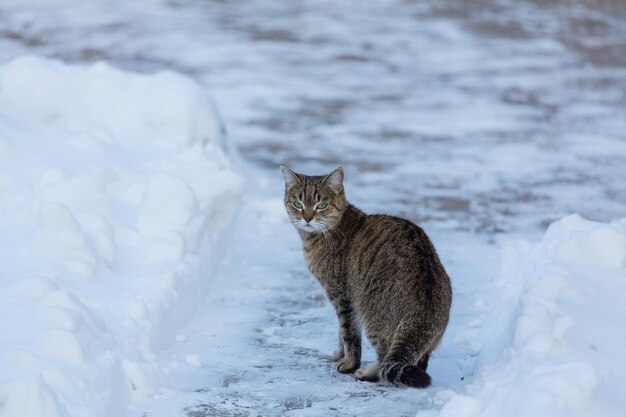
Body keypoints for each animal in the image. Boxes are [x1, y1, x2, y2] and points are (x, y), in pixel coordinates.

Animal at [280, 165, 450, 386]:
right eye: (297, 203)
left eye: (321, 205)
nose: (307, 217)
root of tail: (422, 314)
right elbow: (340, 332)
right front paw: (339, 354)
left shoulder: (342, 296)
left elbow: (348, 333)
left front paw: (349, 363)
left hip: (372, 316)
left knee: (385, 358)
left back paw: (367, 372)